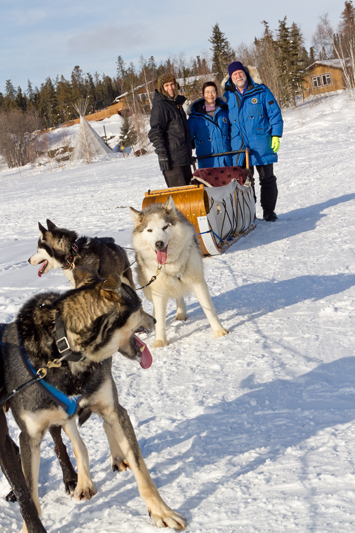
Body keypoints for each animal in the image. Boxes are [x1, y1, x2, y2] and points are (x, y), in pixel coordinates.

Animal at [1, 270, 188, 532]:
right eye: (140, 306)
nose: (153, 319)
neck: (65, 350)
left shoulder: (113, 410)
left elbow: (141, 469)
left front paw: (161, 511)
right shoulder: (29, 437)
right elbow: (28, 495)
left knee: (105, 426)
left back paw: (117, 457)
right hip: (64, 417)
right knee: (78, 445)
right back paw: (84, 482)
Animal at [130, 193, 228, 348]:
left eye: (165, 227)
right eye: (149, 230)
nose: (159, 244)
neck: (170, 264)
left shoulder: (198, 282)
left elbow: (208, 309)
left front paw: (219, 330)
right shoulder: (158, 291)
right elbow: (160, 319)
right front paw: (160, 341)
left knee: (178, 294)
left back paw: (181, 312)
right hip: (148, 290)